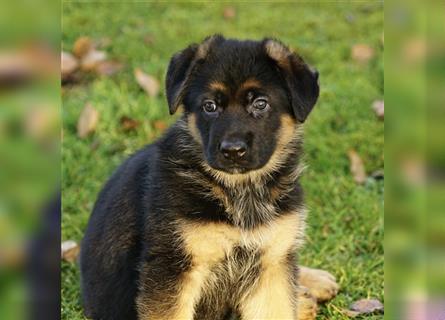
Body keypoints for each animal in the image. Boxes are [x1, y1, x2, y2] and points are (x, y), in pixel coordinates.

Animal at [80, 35, 336, 320]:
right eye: (210, 106)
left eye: (260, 104)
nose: (233, 151)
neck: (238, 191)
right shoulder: (174, 266)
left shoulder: (270, 265)